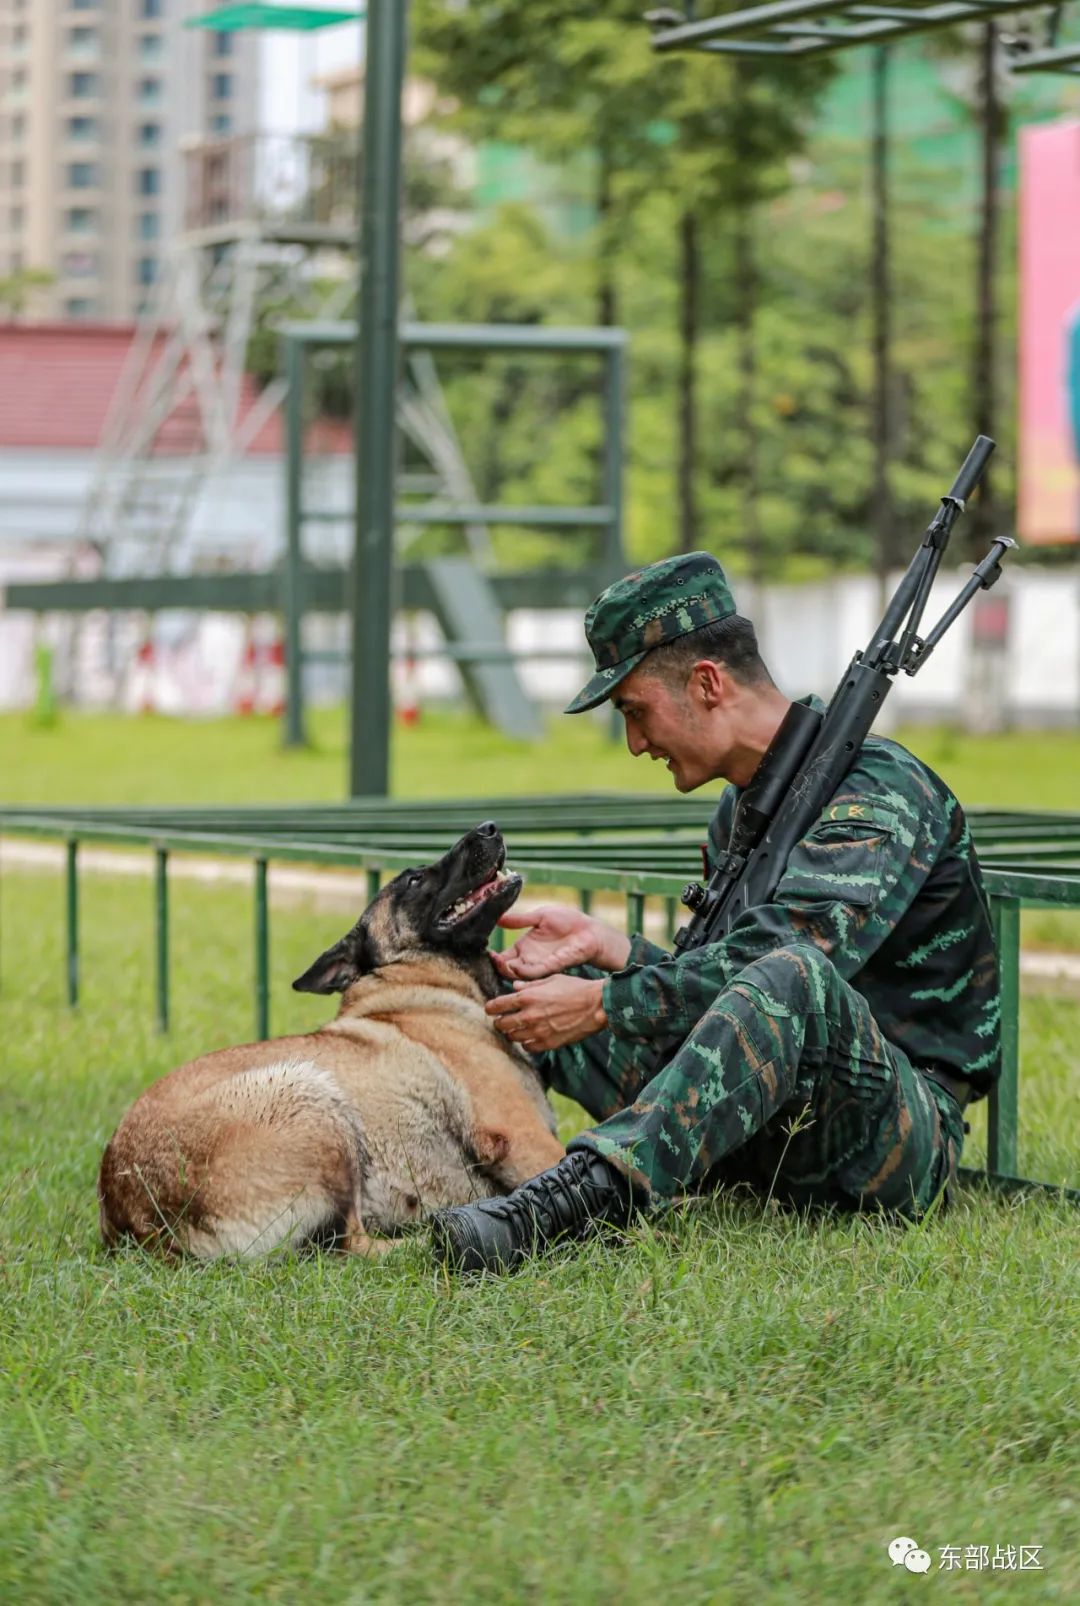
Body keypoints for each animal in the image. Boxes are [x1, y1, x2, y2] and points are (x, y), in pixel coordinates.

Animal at [99, 822, 565, 1259]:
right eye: (414, 880)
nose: (489, 828)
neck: (419, 976)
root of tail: (135, 1222)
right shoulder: (520, 1137)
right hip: (312, 1097)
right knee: (358, 1245)